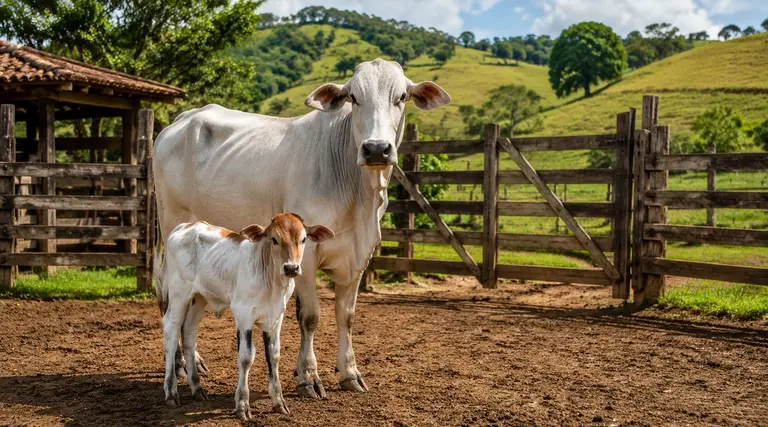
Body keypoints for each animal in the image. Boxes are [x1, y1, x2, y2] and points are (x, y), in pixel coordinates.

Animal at [153, 58, 451, 397]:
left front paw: (350, 373)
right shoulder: (304, 257)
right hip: (171, 228)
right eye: (354, 97)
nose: (376, 149)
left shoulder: (359, 257)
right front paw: (308, 376)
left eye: (401, 97)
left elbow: (346, 317)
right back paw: (178, 365)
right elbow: (310, 317)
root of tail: (182, 120)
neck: (359, 195)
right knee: (169, 299)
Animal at [158, 214, 334, 420]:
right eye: (274, 239)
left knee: (188, 332)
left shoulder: (276, 318)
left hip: (199, 298)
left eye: (303, 239)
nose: (291, 268)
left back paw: (198, 389)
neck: (272, 284)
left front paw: (279, 402)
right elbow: (246, 357)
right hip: (179, 293)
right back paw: (171, 392)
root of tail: (185, 226)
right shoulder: (243, 316)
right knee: (171, 330)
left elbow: (274, 355)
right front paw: (242, 405)